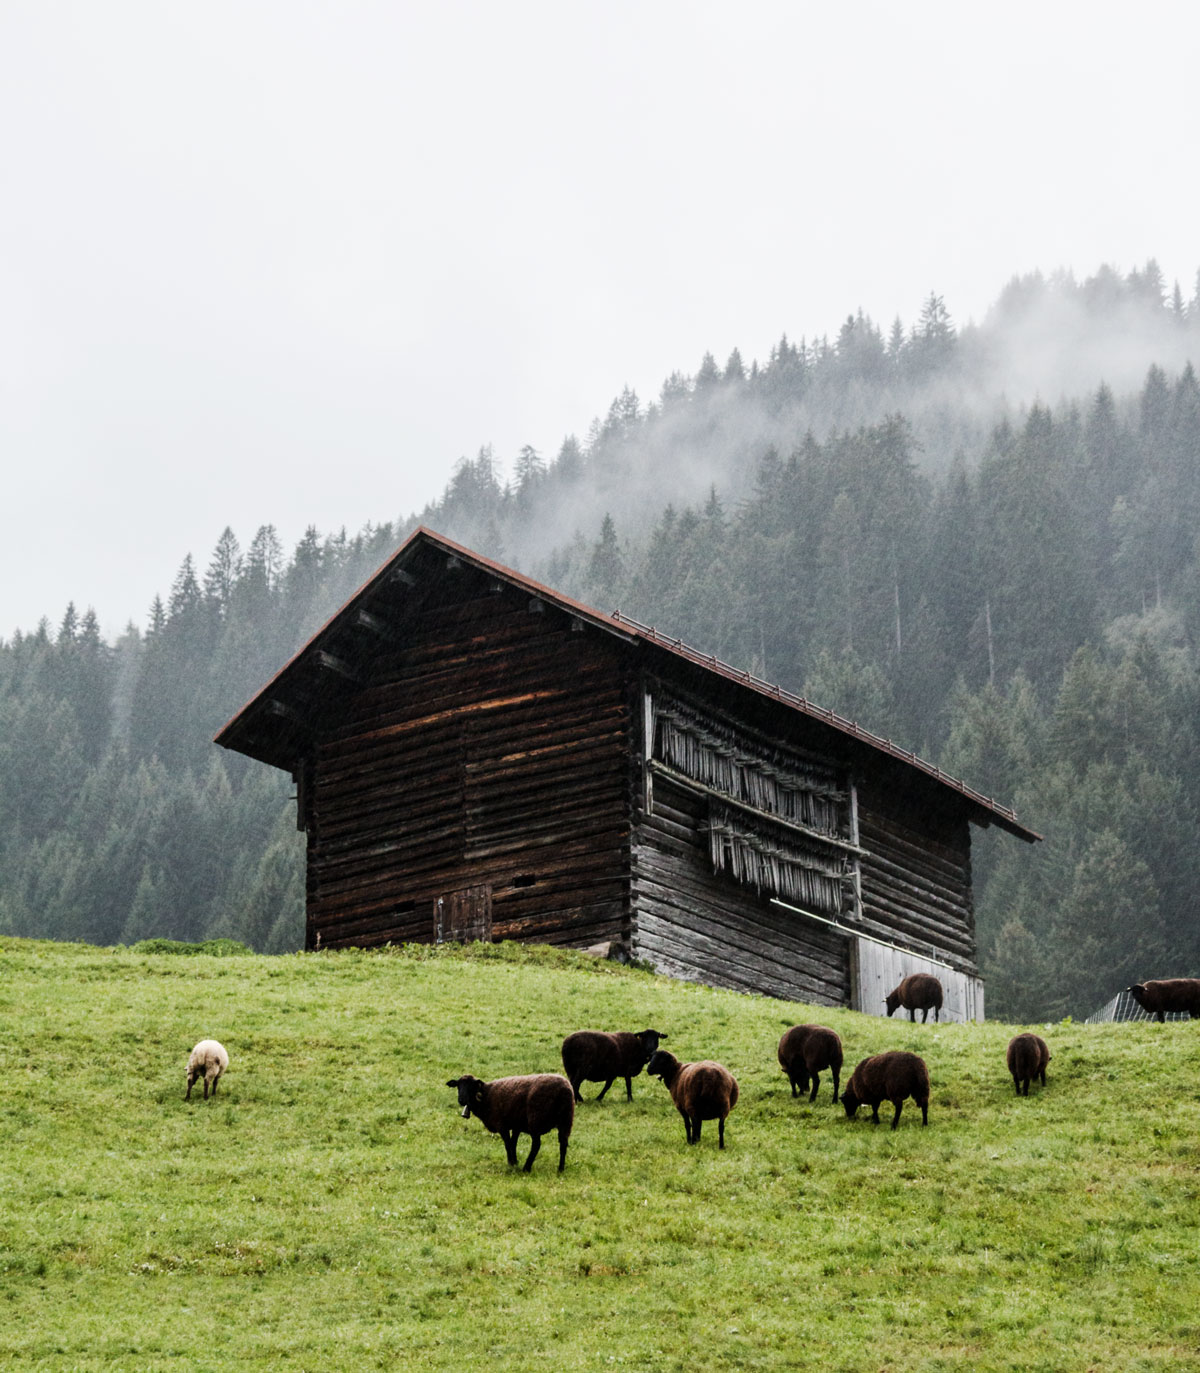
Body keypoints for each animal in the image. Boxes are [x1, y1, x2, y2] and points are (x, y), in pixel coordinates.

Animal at [444, 1070, 573, 1169]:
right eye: (458, 1086)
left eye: (471, 1087)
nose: (461, 1100)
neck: (485, 1096)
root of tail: (563, 1090)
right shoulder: (516, 1125)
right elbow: (513, 1143)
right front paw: (515, 1161)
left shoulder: (501, 1125)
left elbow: (508, 1144)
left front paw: (511, 1163)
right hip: (566, 1120)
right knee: (563, 1144)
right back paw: (560, 1169)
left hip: (536, 1119)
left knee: (536, 1145)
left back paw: (526, 1168)